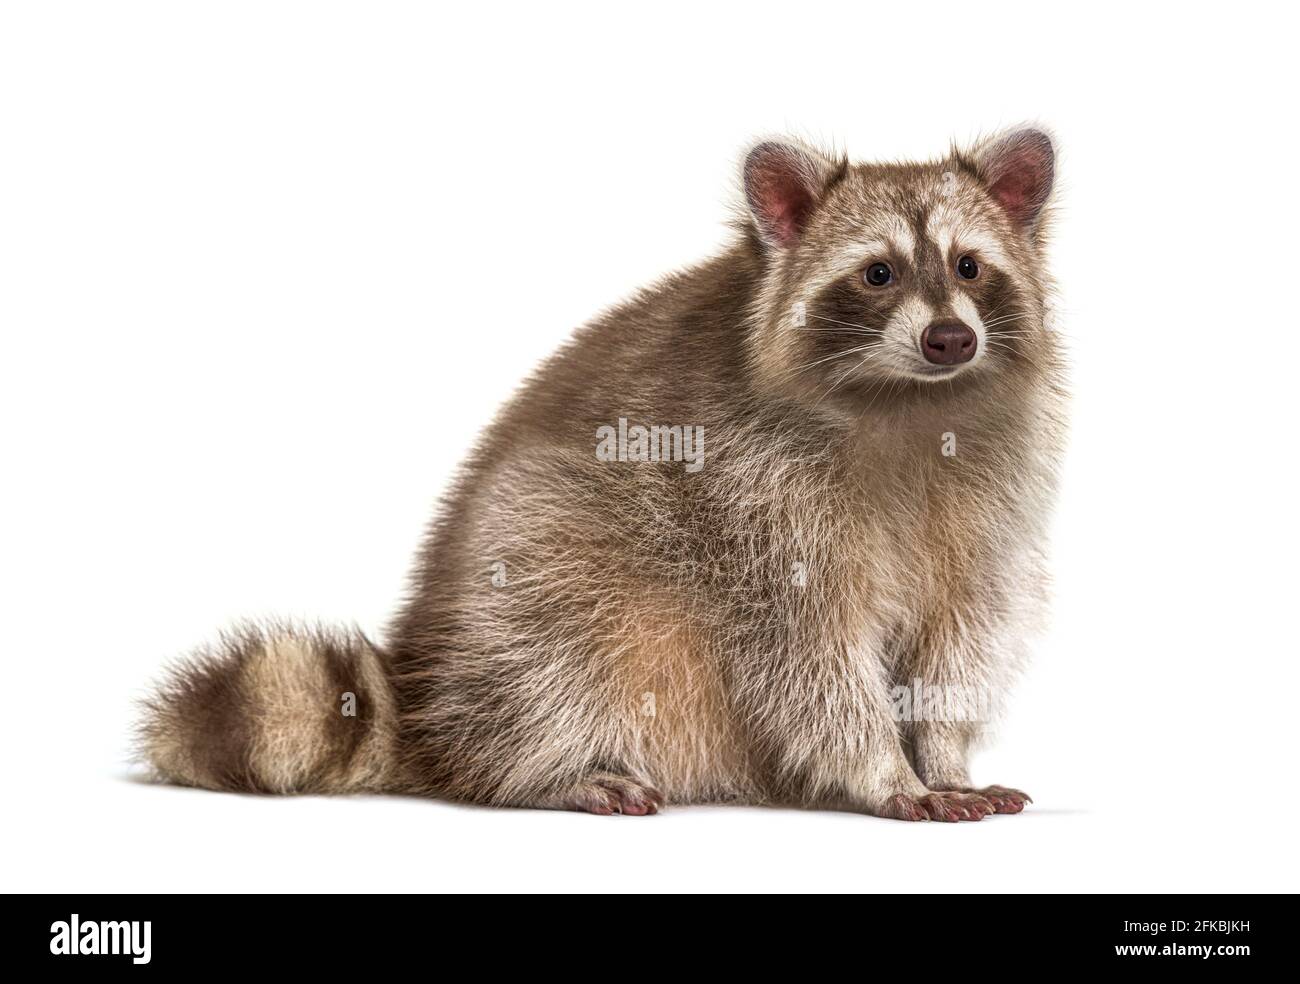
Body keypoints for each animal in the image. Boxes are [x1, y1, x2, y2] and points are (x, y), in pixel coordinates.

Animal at [138, 127, 1064, 821]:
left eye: (970, 266)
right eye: (878, 273)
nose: (951, 339)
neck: (908, 402)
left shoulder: (992, 497)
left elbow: (959, 638)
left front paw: (941, 756)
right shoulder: (751, 501)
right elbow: (805, 658)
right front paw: (884, 771)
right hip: (537, 561)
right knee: (554, 642)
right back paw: (541, 771)